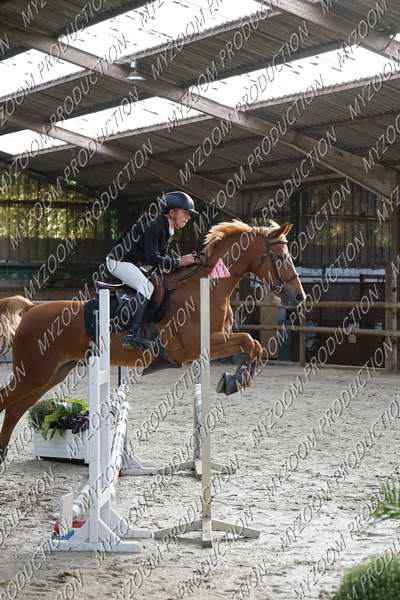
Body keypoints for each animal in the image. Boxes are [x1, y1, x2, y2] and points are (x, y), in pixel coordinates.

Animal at [0, 220, 305, 461]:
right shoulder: (196, 345)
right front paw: (235, 379)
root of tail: (31, 308)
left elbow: (253, 344)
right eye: (281, 257)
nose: (299, 296)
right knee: (8, 401)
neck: (207, 287)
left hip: (52, 374)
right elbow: (249, 340)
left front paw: (235, 380)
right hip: (33, 373)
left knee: (15, 408)